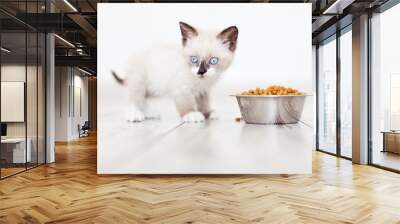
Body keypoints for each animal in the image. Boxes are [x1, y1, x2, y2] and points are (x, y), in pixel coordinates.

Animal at [111, 21, 239, 122]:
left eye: (213, 60)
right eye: (194, 59)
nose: (201, 72)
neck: (200, 81)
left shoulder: (203, 90)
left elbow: (204, 103)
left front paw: (208, 113)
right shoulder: (182, 89)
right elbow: (186, 103)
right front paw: (191, 114)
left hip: (153, 88)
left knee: (143, 99)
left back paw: (149, 113)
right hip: (140, 83)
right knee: (134, 98)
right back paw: (134, 114)